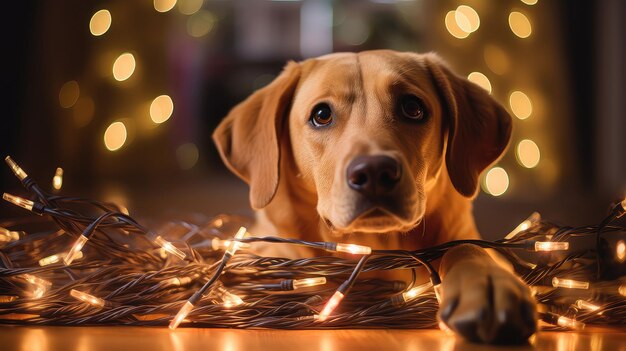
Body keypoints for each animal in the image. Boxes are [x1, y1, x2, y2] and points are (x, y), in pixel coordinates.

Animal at [212, 51, 532, 346]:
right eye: (321, 115)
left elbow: (468, 248)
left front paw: (487, 283)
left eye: (412, 108)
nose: (376, 172)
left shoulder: (462, 232)